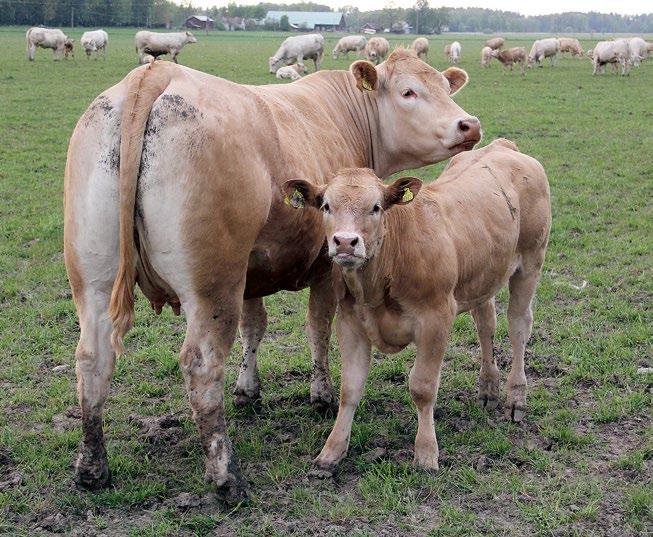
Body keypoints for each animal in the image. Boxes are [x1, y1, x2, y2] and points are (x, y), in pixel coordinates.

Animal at [65, 48, 478, 500]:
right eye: (408, 91)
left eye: (446, 87)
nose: (469, 124)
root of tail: (156, 74)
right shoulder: (325, 267)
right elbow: (318, 328)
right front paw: (321, 395)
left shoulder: (251, 275)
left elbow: (255, 327)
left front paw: (248, 389)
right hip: (213, 287)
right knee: (201, 366)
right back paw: (227, 478)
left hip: (95, 281)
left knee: (92, 358)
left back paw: (92, 469)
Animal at [282, 139, 552, 474]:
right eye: (326, 206)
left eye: (376, 207)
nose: (345, 242)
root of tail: (503, 146)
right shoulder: (350, 322)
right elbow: (350, 389)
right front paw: (332, 450)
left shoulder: (435, 319)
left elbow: (422, 388)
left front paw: (425, 453)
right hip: (484, 273)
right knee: (485, 323)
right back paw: (488, 388)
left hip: (530, 261)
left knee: (518, 325)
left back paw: (516, 397)